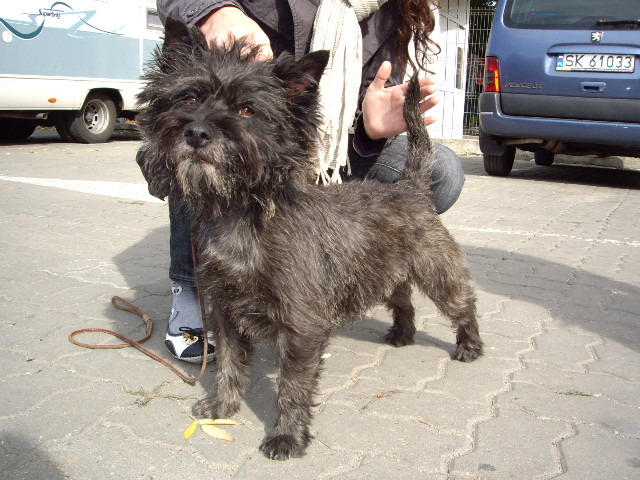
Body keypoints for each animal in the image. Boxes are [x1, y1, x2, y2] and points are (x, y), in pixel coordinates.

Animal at [138, 18, 482, 460]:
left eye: (247, 109)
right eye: (190, 96)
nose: (196, 132)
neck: (242, 215)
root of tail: (411, 186)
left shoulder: (301, 325)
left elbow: (292, 386)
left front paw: (286, 436)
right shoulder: (225, 312)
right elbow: (229, 365)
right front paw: (221, 407)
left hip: (436, 272)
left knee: (463, 303)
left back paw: (469, 346)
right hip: (383, 272)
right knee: (402, 299)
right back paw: (402, 334)